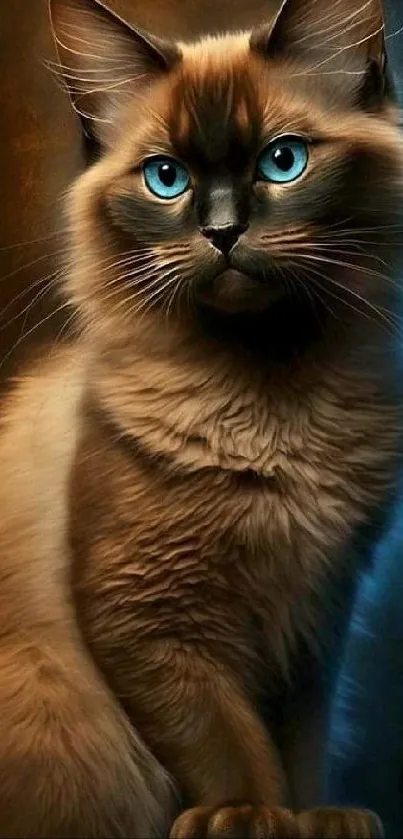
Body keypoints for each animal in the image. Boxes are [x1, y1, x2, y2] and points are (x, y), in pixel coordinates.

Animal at [0, 0, 402, 836]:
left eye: (282, 162)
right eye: (167, 178)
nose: (220, 230)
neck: (273, 403)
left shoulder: (313, 615)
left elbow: (297, 741)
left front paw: (312, 815)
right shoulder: (148, 612)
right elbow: (223, 735)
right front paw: (245, 812)